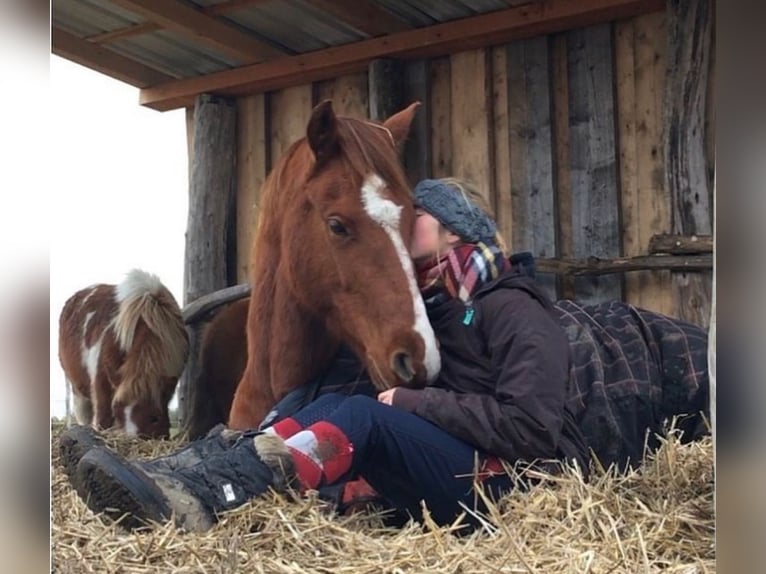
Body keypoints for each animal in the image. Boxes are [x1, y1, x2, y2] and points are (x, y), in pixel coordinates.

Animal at [57, 272, 188, 438]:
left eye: (154, 418)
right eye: (117, 410)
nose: (131, 438)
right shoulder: (101, 379)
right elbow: (103, 417)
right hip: (77, 389)